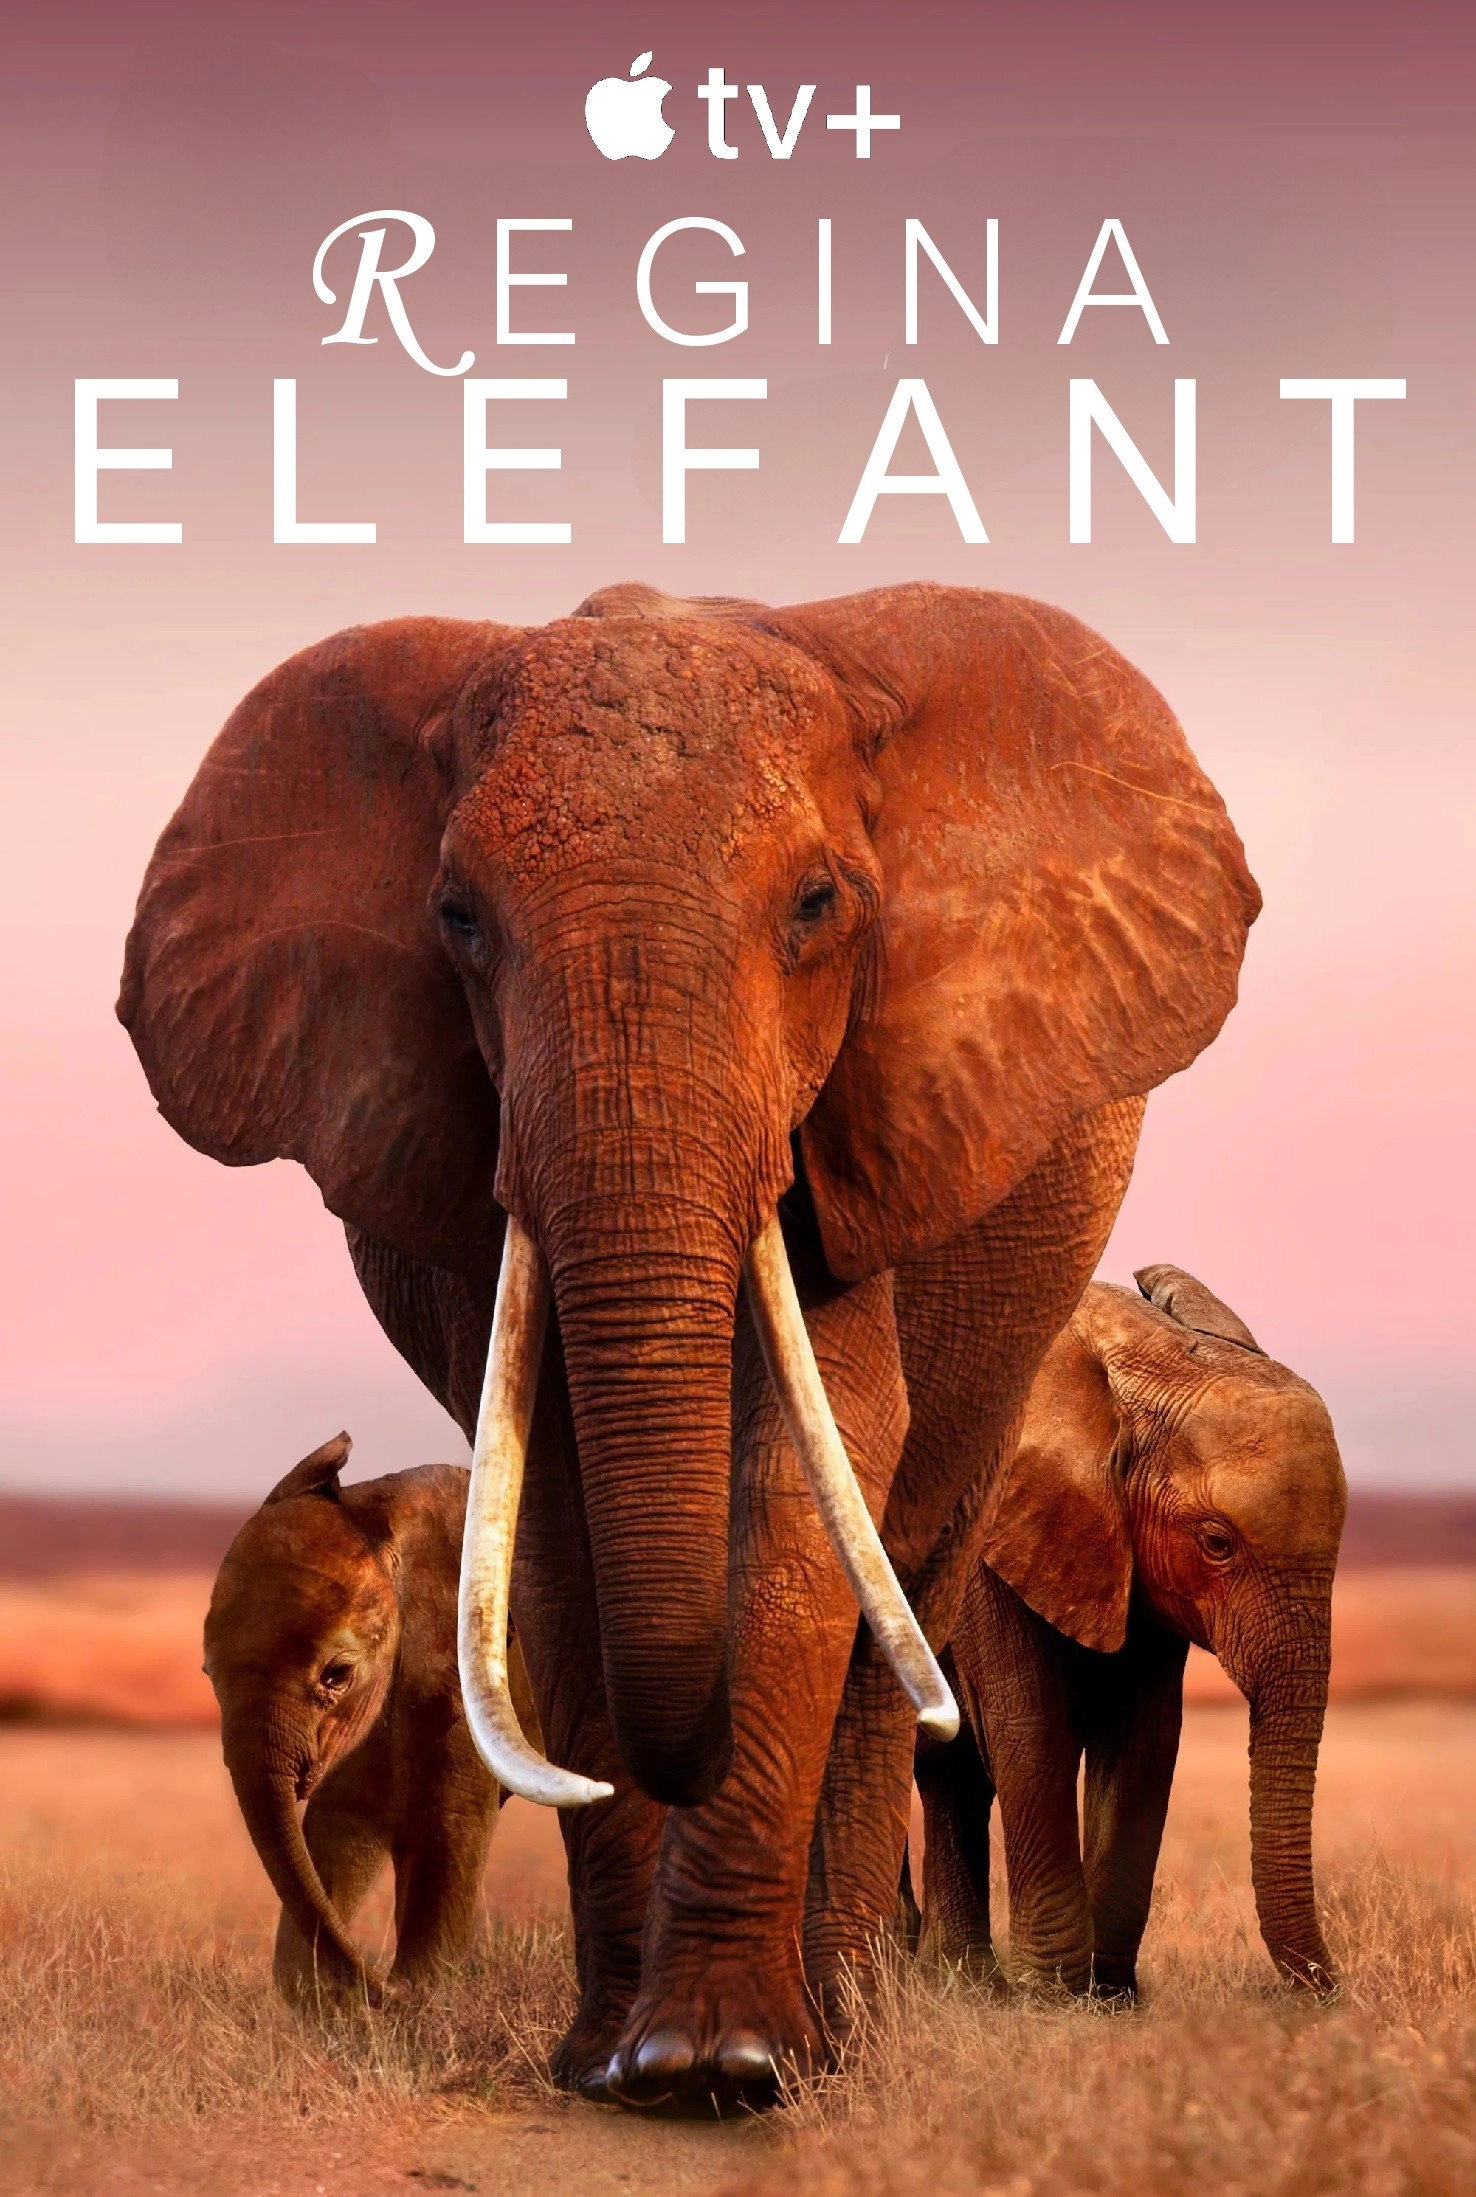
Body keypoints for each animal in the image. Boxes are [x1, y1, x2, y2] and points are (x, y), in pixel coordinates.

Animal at [204, 1434, 532, 2000]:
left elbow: (452, 1822)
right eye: (208, 1675)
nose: (379, 1984)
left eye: (337, 1675)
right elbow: (343, 1822)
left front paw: (416, 1995)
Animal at [910, 1265, 1346, 2000]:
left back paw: (954, 1981)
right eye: (1216, 1542)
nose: (1331, 1988)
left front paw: (1111, 1998)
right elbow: (1031, 1726)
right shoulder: (989, 1532)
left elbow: (1146, 1739)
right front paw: (1052, 1999)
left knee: (947, 1775)